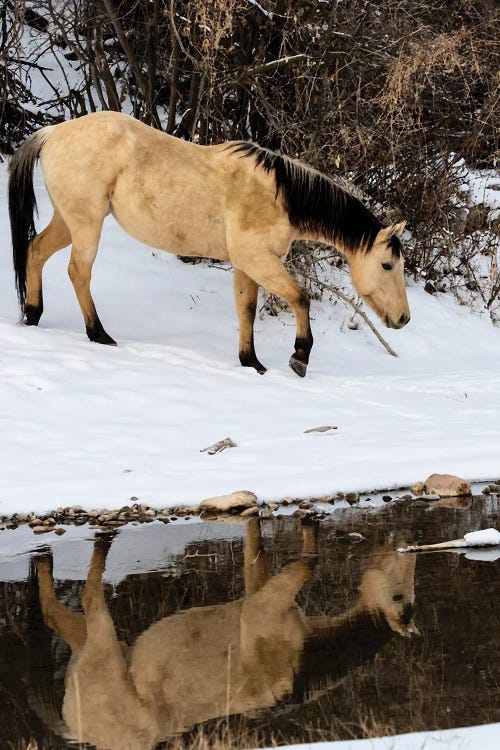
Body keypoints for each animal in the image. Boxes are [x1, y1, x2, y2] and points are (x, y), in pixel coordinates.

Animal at [7, 110, 410, 376]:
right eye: (387, 265)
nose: (403, 319)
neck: (279, 196)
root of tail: (53, 132)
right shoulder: (258, 259)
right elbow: (300, 297)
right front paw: (299, 358)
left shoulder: (247, 265)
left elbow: (246, 309)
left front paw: (251, 362)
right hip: (87, 224)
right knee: (78, 271)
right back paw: (99, 334)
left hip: (68, 222)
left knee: (35, 251)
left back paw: (33, 315)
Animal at [36, 524, 418, 750]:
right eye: (399, 597)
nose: (406, 542)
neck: (306, 655)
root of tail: (79, 731)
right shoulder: (262, 608)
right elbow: (310, 561)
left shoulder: (259, 596)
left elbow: (258, 551)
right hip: (103, 647)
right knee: (89, 595)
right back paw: (103, 536)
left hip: (94, 651)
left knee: (58, 613)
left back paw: (46, 557)